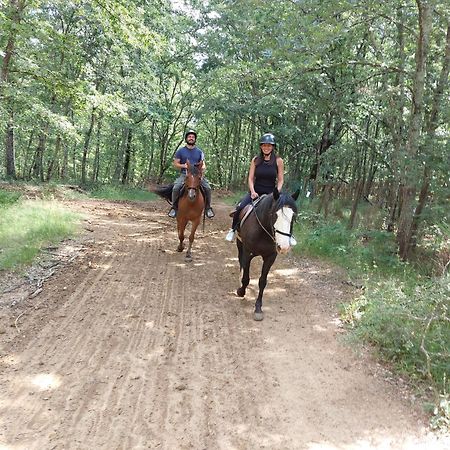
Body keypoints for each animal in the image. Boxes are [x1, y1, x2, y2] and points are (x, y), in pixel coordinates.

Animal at [236, 188, 298, 322]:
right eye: (275, 214)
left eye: (293, 216)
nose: (284, 247)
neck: (263, 230)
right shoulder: (247, 252)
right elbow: (246, 276)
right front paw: (241, 291)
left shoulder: (270, 257)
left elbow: (262, 281)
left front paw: (258, 308)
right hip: (239, 243)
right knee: (240, 260)